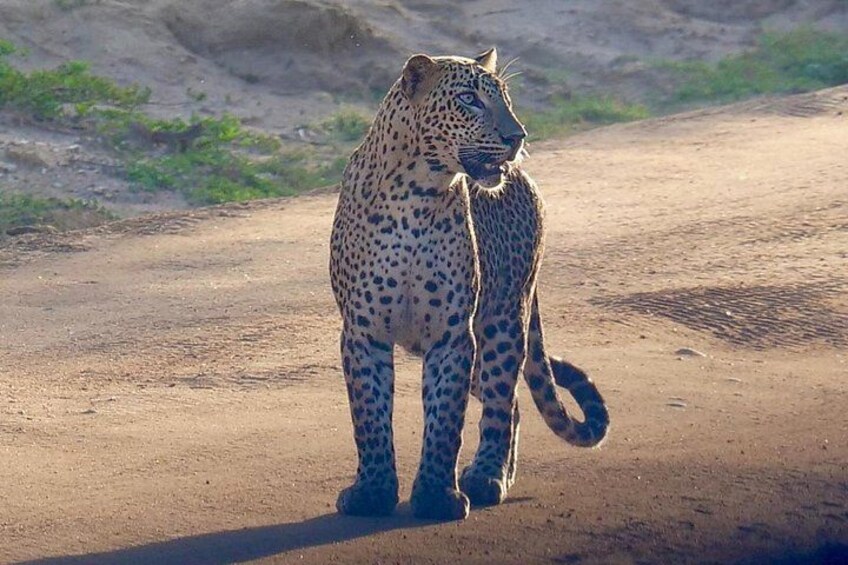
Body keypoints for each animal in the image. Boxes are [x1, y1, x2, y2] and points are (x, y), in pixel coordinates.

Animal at [329, 48, 609, 521]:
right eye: (468, 99)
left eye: (504, 99)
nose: (517, 136)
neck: (415, 195)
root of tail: (523, 179)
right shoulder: (364, 331)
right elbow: (369, 415)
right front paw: (372, 493)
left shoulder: (453, 334)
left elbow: (446, 418)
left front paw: (436, 497)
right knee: (513, 401)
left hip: (503, 321)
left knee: (502, 398)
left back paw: (487, 478)